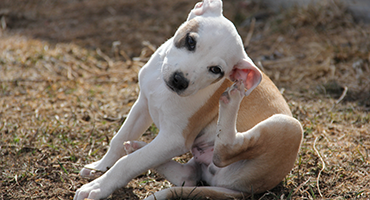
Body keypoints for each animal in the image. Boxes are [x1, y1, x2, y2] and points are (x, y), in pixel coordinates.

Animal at [73, 0, 302, 199]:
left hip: (289, 126)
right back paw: (137, 146)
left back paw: (232, 100)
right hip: (199, 161)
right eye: (191, 41)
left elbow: (128, 164)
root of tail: (247, 190)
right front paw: (99, 167)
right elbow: (119, 138)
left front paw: (98, 187)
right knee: (188, 176)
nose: (179, 80)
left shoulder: (174, 139)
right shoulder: (143, 104)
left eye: (216, 70)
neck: (163, 88)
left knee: (225, 150)